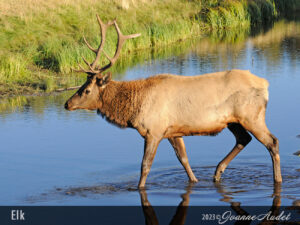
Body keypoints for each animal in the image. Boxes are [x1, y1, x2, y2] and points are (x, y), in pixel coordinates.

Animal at [63, 14, 282, 188]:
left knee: (272, 141)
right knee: (244, 139)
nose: (67, 104)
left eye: (87, 90)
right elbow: (184, 159)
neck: (134, 109)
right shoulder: (173, 132)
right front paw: (194, 181)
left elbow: (145, 165)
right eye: (81, 86)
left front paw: (138, 188)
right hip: (233, 121)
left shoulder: (153, 131)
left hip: (252, 116)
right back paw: (217, 172)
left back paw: (277, 180)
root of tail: (265, 84)